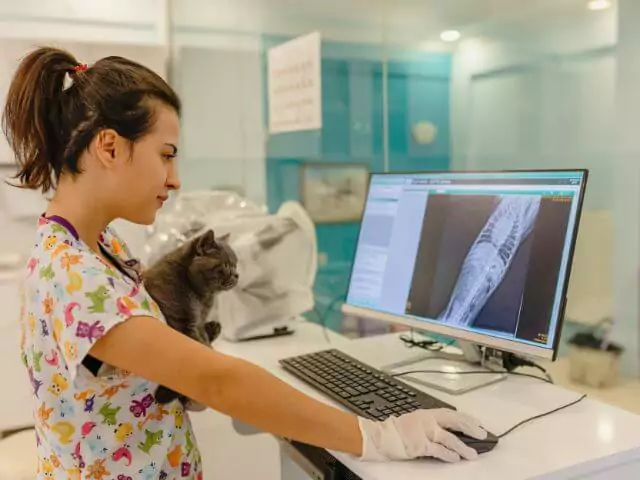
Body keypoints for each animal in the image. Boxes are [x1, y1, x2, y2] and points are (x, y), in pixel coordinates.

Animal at [142, 229, 238, 404]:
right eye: (227, 265)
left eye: (236, 265)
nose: (237, 275)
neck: (201, 297)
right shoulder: (182, 322)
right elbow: (200, 351)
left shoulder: (197, 322)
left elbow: (204, 344)